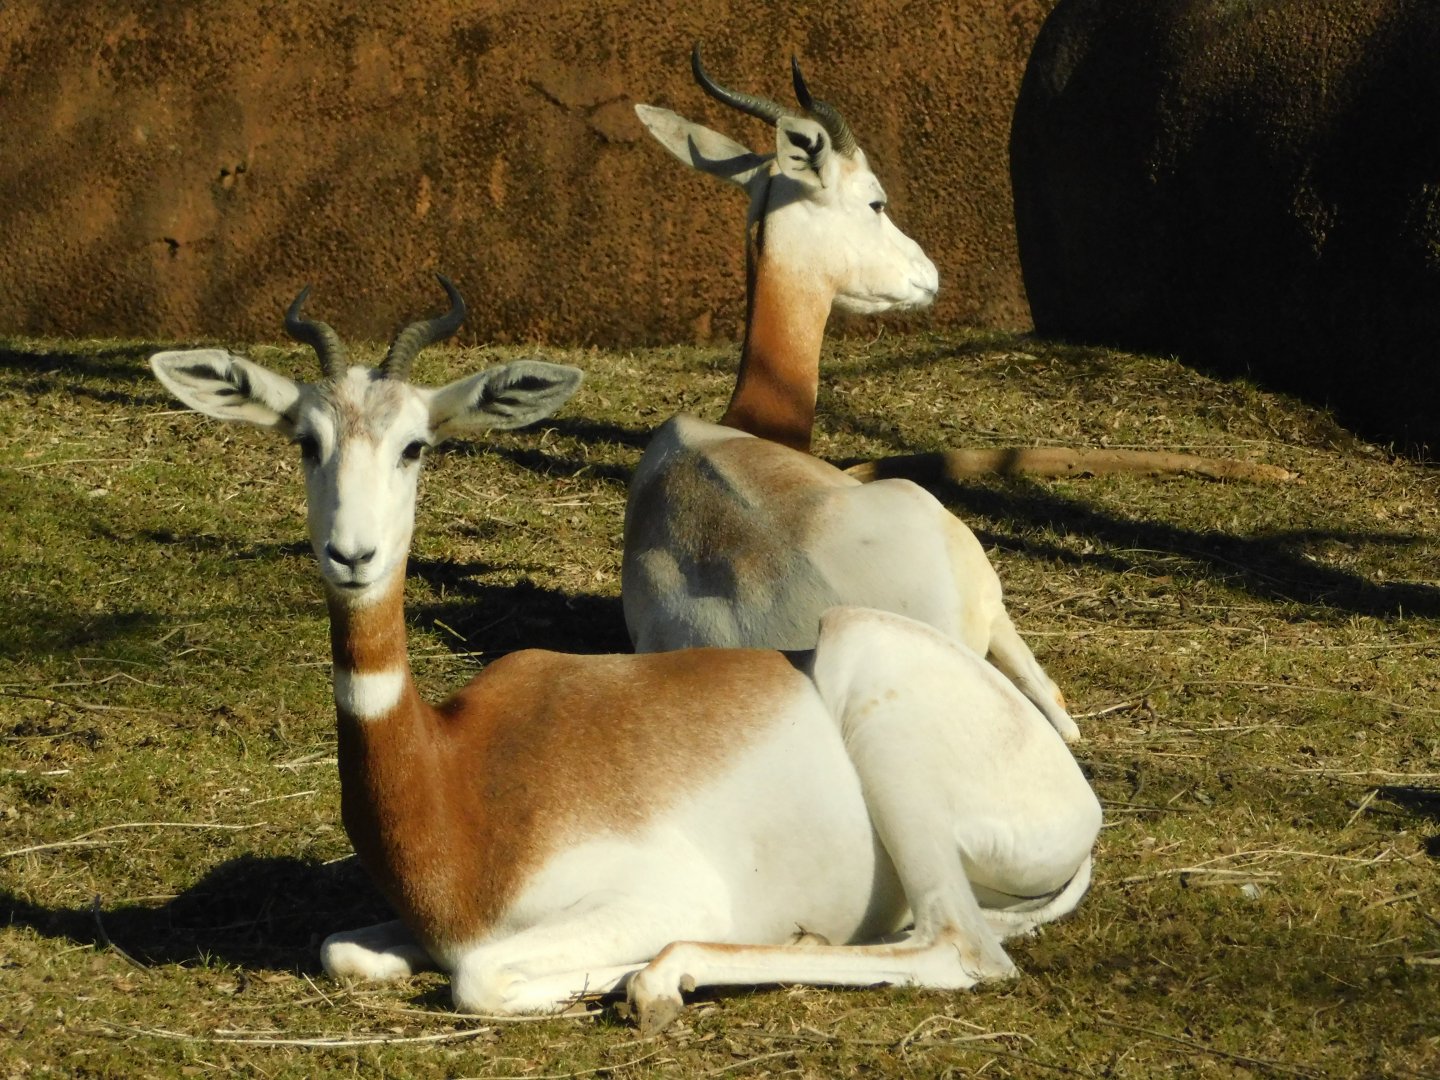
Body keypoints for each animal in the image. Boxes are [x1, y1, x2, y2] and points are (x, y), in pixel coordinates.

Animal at [149, 278, 1101, 1032]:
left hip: (868, 676)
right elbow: (345, 949)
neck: (456, 780)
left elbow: (479, 976)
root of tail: (1075, 796)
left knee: (960, 949)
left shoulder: (650, 898)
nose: (353, 555)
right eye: (305, 440)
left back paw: (670, 976)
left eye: (417, 444)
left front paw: (641, 974)